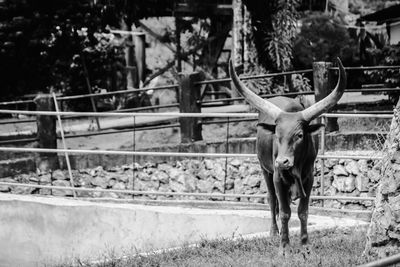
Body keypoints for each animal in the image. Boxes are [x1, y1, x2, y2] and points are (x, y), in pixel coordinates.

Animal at [230, 58, 346, 253]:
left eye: (299, 135)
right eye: (277, 135)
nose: (282, 162)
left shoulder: (309, 178)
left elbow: (303, 212)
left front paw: (305, 245)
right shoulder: (277, 177)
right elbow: (284, 212)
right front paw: (284, 246)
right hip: (265, 170)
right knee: (272, 200)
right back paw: (273, 232)